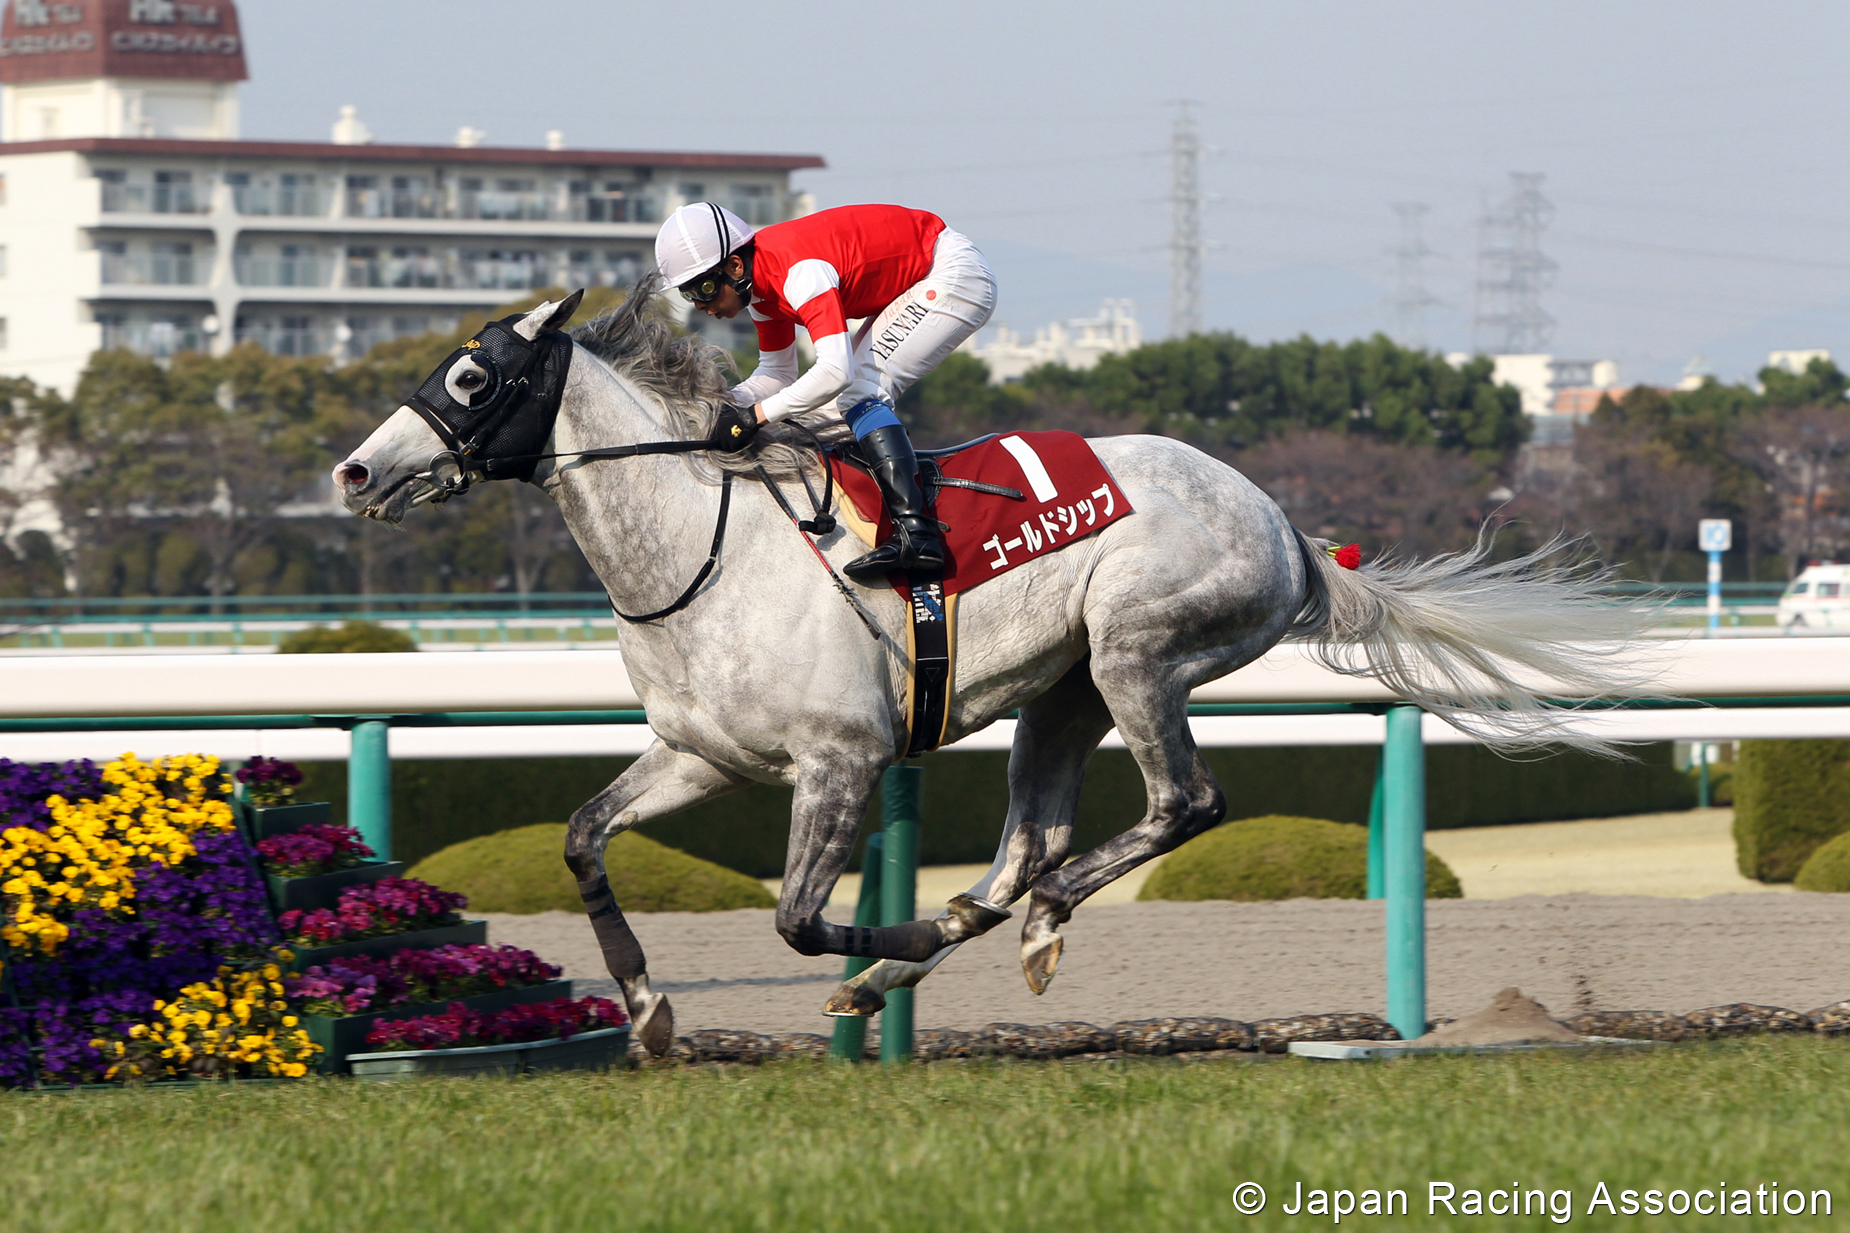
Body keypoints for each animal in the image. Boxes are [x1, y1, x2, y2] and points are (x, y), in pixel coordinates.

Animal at [333, 283, 1635, 1051]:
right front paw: (649, 1011)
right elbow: (580, 838)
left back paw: (1009, 927)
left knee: (1179, 805)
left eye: (468, 378)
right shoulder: (701, 755)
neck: (704, 543)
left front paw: (892, 944)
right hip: (1060, 698)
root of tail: (1288, 531)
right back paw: (969, 935)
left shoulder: (841, 759)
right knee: (1027, 846)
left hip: (1137, 651)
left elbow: (799, 920)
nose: (354, 472)